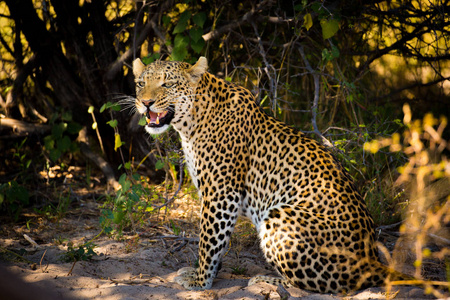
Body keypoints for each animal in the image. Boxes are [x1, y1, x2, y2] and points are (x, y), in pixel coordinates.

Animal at [131, 55, 398, 292]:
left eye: (167, 84)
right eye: (141, 84)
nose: (145, 103)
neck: (191, 122)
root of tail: (372, 260)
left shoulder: (221, 193)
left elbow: (209, 239)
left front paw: (200, 280)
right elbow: (219, 240)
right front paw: (205, 273)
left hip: (280, 216)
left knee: (325, 284)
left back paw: (266, 280)